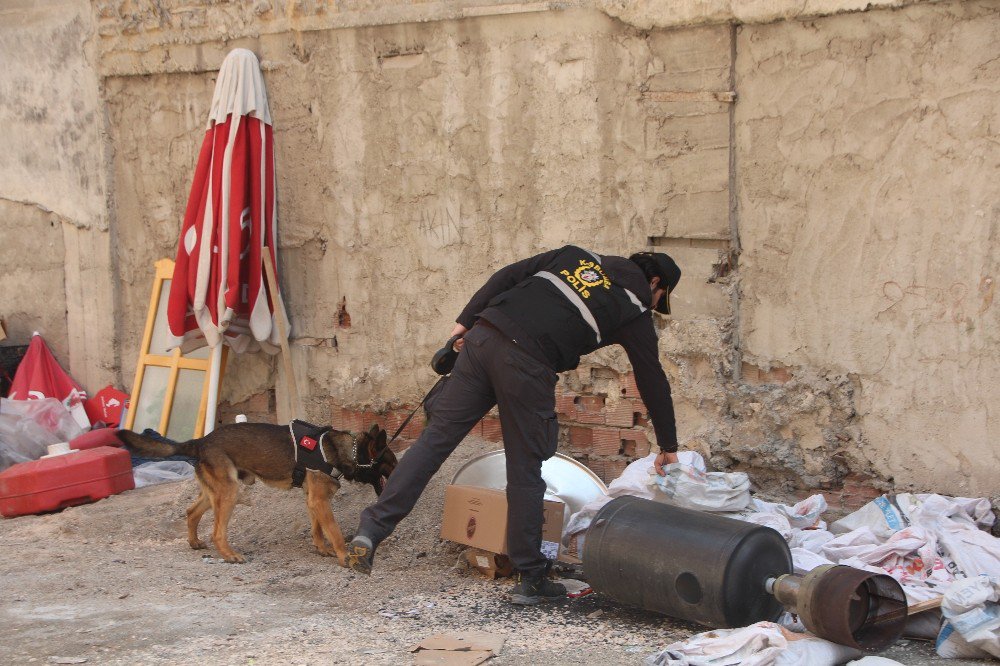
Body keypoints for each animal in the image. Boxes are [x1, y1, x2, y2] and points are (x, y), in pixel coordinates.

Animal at [117, 422, 394, 564]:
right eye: (391, 462)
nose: (400, 470)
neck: (345, 450)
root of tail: (201, 441)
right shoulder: (319, 499)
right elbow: (334, 532)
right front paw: (344, 555)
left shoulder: (313, 499)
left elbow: (317, 528)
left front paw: (321, 548)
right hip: (229, 492)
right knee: (217, 532)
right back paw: (230, 555)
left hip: (215, 492)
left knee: (191, 511)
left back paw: (194, 542)